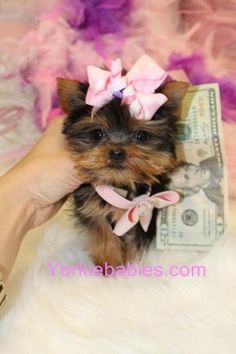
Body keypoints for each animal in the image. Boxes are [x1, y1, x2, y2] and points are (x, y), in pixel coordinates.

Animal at [57, 74, 188, 268]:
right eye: (97, 134)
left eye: (141, 135)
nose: (117, 152)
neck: (119, 184)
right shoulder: (93, 209)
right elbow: (102, 233)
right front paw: (110, 263)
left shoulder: (143, 212)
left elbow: (135, 238)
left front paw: (133, 264)